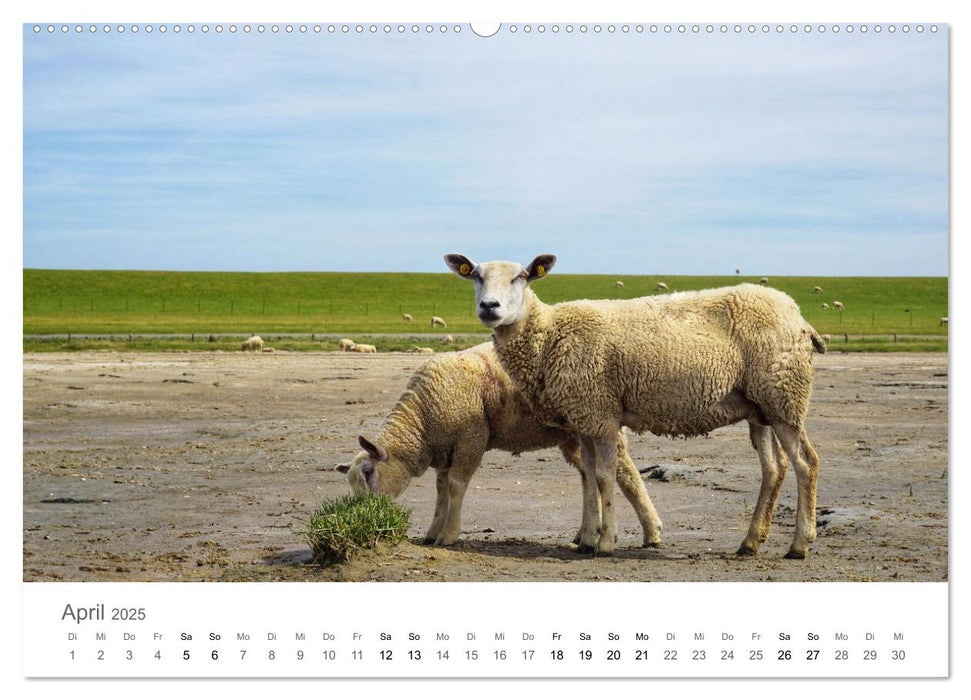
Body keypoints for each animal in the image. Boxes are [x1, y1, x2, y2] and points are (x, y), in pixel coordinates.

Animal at [338, 342, 664, 548]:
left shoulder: (471, 439)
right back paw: (586, 533)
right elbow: (441, 490)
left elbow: (455, 487)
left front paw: (449, 535)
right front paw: (432, 532)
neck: (421, 418)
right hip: (573, 435)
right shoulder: (446, 449)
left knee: (627, 474)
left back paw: (651, 532)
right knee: (589, 474)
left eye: (369, 472)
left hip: (601, 425)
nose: (361, 515)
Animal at [448, 254, 828, 560]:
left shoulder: (600, 414)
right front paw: (587, 538)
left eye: (521, 276)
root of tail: (798, 317)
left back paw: (799, 545)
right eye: (476, 276)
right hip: (760, 408)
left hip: (784, 395)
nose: (490, 306)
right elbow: (588, 477)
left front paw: (604, 544)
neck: (548, 334)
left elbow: (604, 475)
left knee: (805, 463)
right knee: (774, 468)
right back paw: (750, 543)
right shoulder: (583, 415)